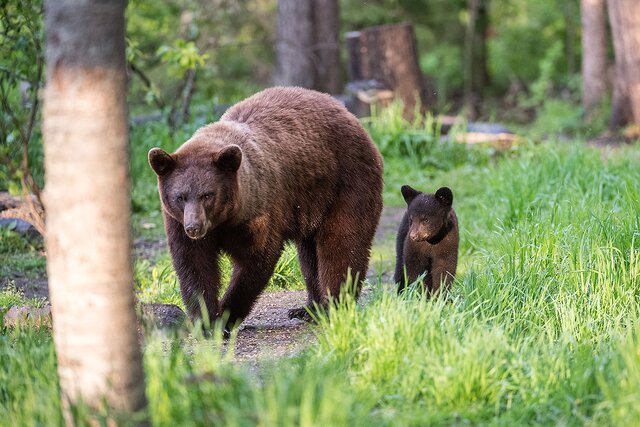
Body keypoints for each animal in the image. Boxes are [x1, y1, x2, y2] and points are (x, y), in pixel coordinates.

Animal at [148, 87, 382, 332]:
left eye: (208, 195)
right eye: (180, 197)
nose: (194, 227)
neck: (224, 220)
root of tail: (351, 116)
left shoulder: (258, 212)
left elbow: (256, 260)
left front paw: (226, 315)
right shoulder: (178, 224)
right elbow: (194, 266)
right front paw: (206, 320)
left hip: (345, 183)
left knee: (341, 244)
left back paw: (333, 307)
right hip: (311, 206)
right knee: (309, 257)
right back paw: (308, 309)